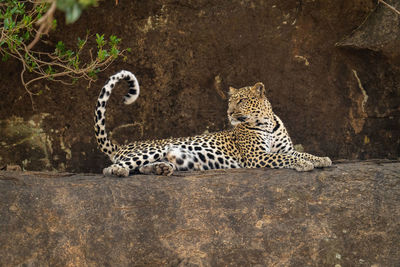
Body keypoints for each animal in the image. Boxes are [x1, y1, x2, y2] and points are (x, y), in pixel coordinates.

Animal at [94, 70, 332, 177]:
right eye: (230, 101)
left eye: (241, 101)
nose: (229, 112)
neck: (266, 123)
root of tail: (122, 145)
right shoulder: (257, 156)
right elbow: (286, 158)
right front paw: (304, 164)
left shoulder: (284, 148)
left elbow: (299, 152)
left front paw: (321, 159)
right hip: (154, 149)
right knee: (109, 168)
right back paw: (119, 171)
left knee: (143, 167)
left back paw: (161, 168)